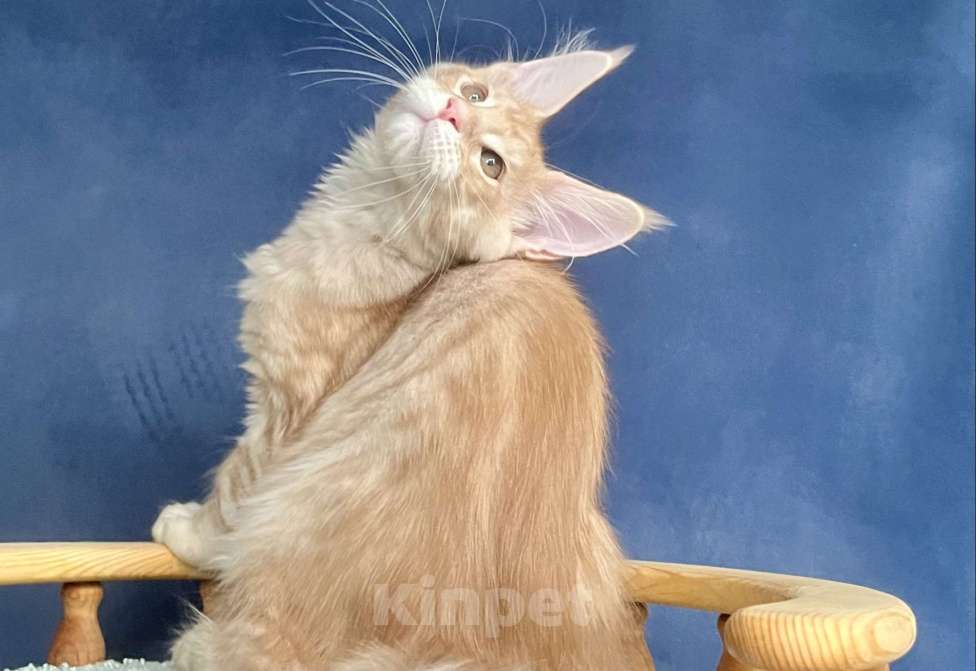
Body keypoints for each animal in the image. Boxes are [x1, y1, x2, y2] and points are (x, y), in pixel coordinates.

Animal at [152, 20, 666, 671]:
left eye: (490, 163)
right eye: (474, 94)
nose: (451, 111)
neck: (359, 222)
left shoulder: (282, 408)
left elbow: (231, 487)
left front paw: (187, 530)